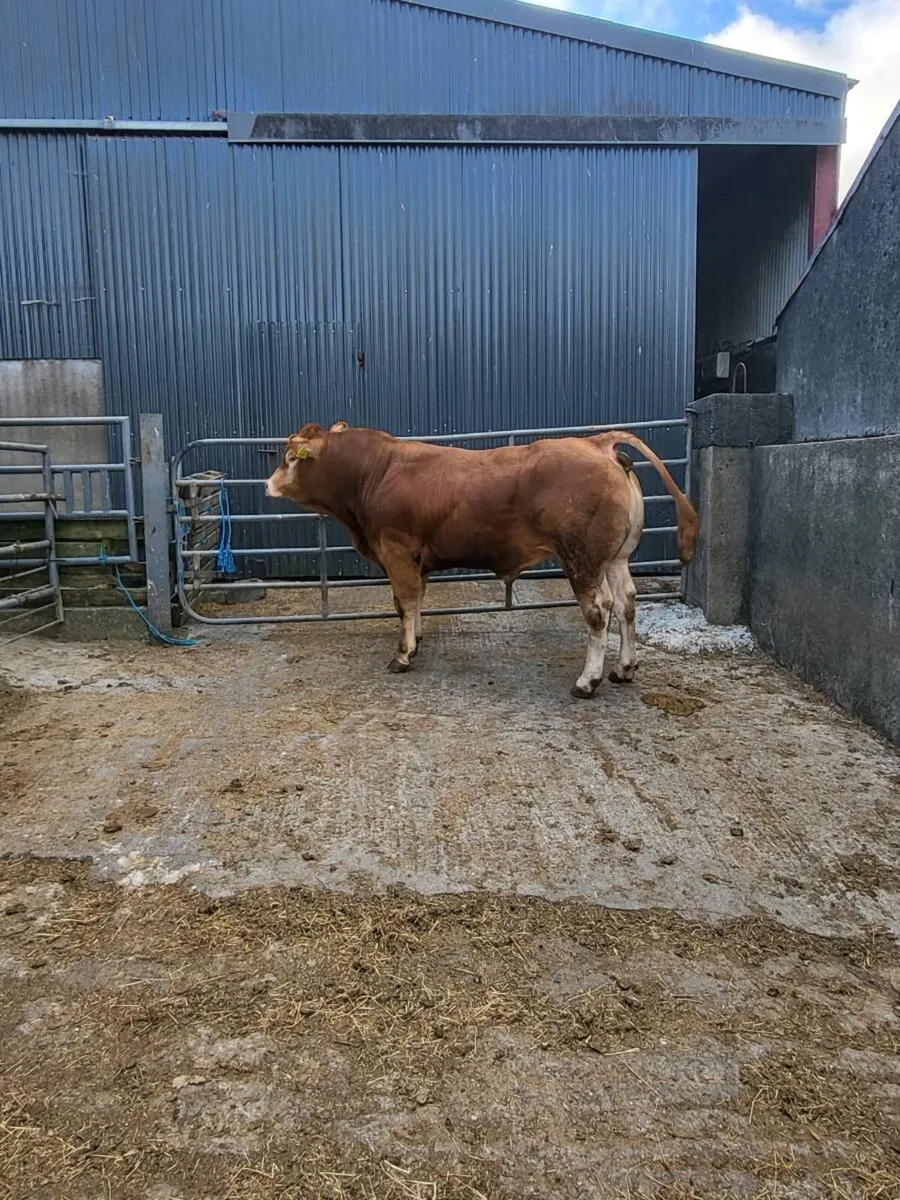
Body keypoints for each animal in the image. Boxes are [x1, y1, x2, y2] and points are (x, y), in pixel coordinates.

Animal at [266, 421, 698, 698]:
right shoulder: (416, 557)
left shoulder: (396, 550)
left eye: (290, 457)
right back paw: (624, 669)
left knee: (599, 611)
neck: (373, 474)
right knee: (626, 603)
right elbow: (416, 601)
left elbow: (403, 602)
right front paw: (417, 640)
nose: (268, 484)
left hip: (583, 559)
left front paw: (403, 655)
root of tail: (596, 442)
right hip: (615, 558)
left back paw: (587, 682)